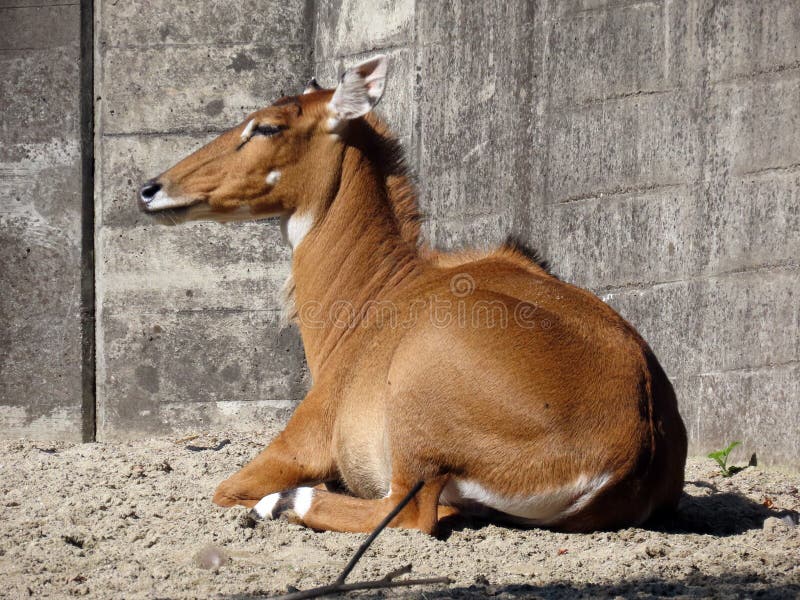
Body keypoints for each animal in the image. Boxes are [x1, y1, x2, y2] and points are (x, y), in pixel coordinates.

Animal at [138, 56, 688, 536]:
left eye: (267, 127)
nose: (149, 188)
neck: (380, 289)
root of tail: (637, 444)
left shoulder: (300, 442)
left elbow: (227, 489)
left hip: (412, 420)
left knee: (411, 514)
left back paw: (287, 503)